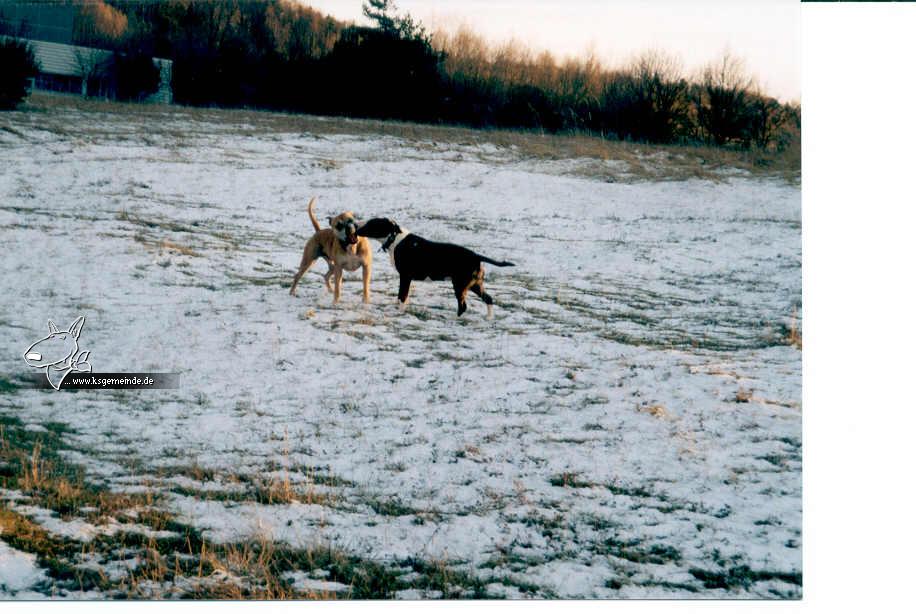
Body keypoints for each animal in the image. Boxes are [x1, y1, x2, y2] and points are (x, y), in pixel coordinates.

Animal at [358, 219, 516, 320]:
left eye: (371, 223)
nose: (356, 226)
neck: (395, 240)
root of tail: (476, 256)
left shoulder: (405, 276)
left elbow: (402, 297)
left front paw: (399, 312)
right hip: (474, 285)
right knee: (488, 299)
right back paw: (489, 318)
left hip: (459, 286)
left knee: (463, 306)